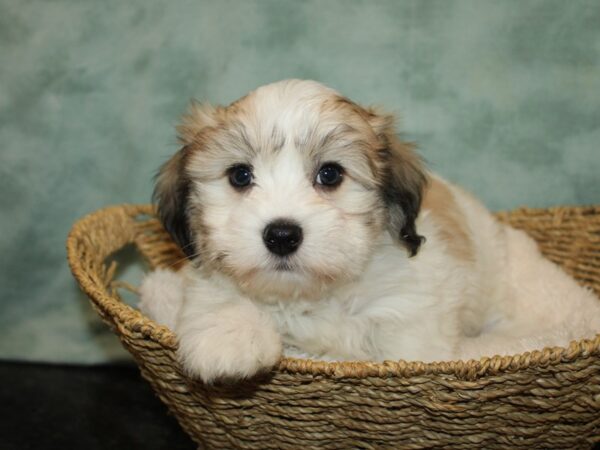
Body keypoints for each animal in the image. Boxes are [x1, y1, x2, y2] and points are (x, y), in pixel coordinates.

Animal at [138, 79, 600, 382]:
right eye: (239, 175)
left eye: (330, 174)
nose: (282, 235)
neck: (315, 295)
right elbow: (220, 297)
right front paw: (228, 340)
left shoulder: (408, 316)